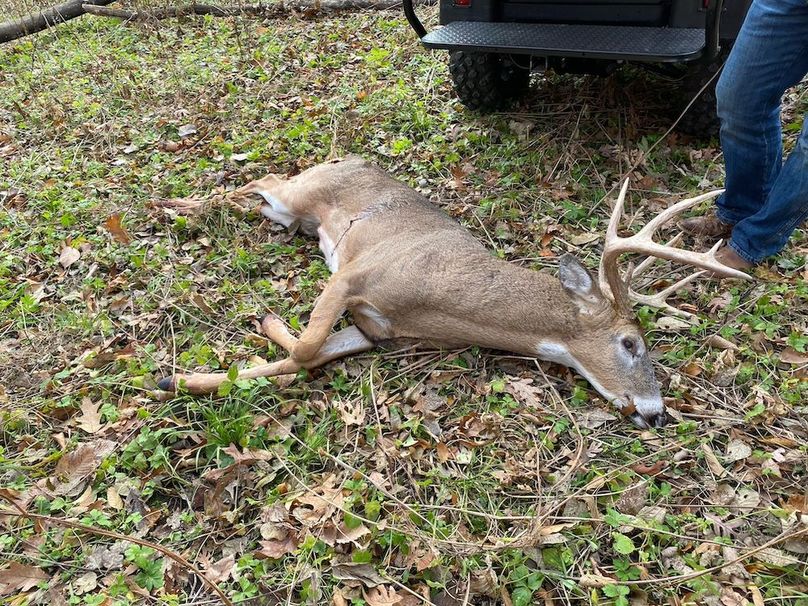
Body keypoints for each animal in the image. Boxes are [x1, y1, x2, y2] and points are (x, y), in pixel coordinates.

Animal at [155, 156, 749, 428]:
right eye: (630, 343)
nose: (657, 412)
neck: (439, 301)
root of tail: (350, 157)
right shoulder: (353, 275)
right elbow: (304, 347)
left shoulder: (378, 332)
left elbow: (307, 357)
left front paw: (178, 379)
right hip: (298, 194)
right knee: (260, 180)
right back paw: (176, 206)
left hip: (288, 215)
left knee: (258, 194)